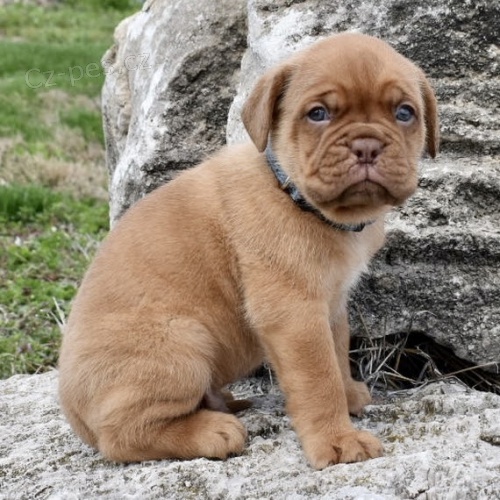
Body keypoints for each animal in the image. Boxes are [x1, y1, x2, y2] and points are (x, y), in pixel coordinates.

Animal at [58, 33, 438, 470]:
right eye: (318, 114)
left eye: (405, 113)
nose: (367, 145)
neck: (292, 191)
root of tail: (73, 412)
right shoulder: (294, 315)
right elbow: (318, 379)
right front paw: (337, 440)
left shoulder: (331, 303)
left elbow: (338, 351)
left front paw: (348, 394)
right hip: (182, 344)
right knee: (120, 436)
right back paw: (211, 430)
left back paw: (223, 403)